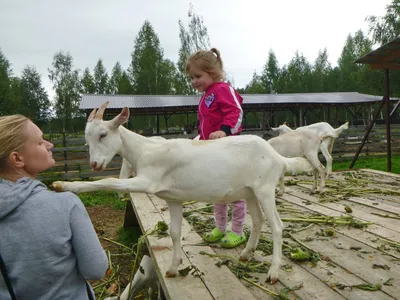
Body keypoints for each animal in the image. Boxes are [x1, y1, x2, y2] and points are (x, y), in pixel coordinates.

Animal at [50, 102, 312, 282]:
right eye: (87, 139)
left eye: (103, 134)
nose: (94, 164)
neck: (144, 150)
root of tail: (277, 157)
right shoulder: (172, 198)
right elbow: (175, 232)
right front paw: (173, 268)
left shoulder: (147, 181)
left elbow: (109, 181)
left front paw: (64, 186)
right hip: (249, 192)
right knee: (257, 220)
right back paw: (246, 254)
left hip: (265, 189)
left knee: (277, 226)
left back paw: (273, 272)